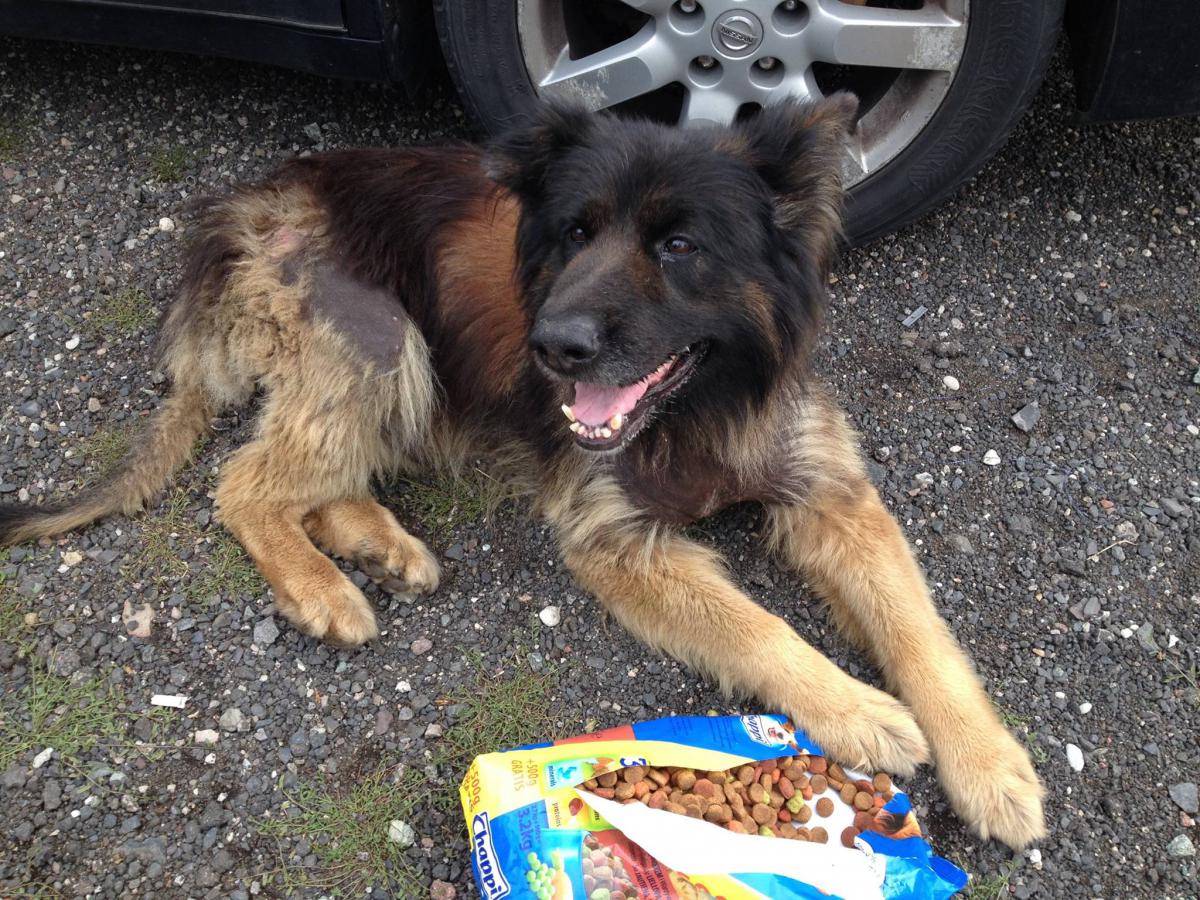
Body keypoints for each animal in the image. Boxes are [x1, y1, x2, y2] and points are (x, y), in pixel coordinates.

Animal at [0, 95, 1044, 848]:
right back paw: (323, 589)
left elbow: (918, 629)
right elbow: (760, 629)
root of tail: (240, 212)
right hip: (387, 345)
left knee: (305, 474)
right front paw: (860, 713)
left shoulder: (827, 493)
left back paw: (377, 546)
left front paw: (989, 766)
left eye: (680, 245)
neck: (696, 406)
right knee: (248, 483)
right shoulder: (617, 541)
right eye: (575, 233)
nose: (556, 347)